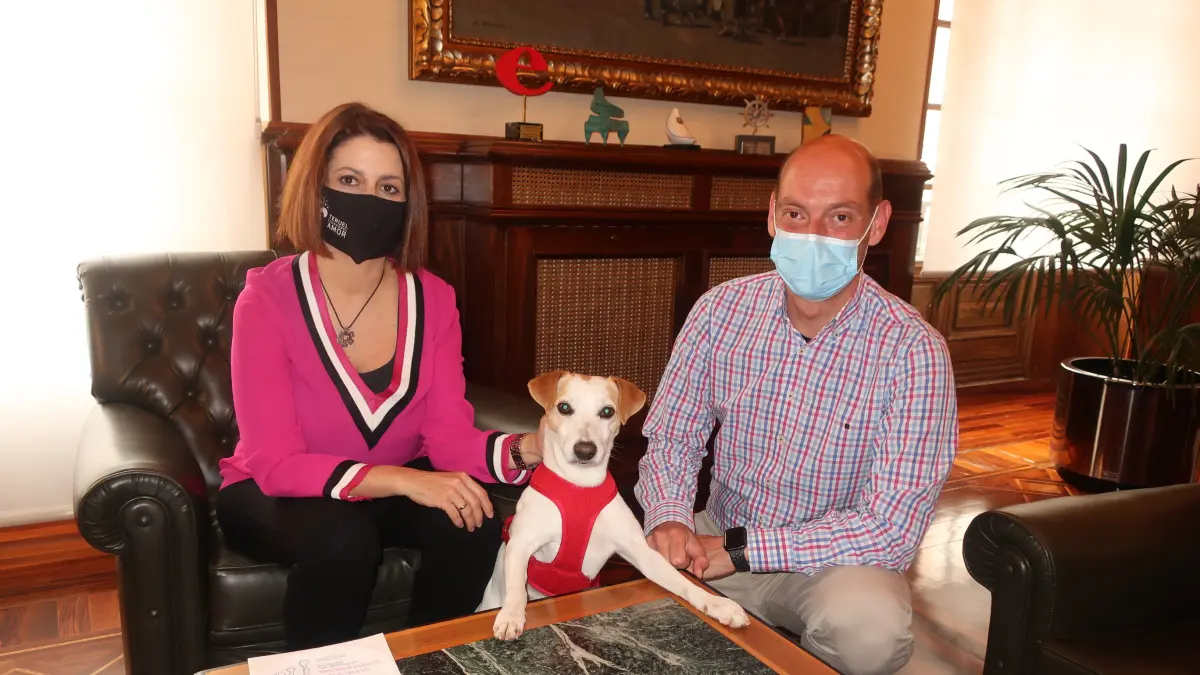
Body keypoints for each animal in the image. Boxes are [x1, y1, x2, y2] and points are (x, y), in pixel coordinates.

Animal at [477, 370, 751, 640]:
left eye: (607, 411)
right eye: (564, 407)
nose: (585, 450)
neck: (579, 487)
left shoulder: (642, 552)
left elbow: (680, 580)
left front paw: (715, 603)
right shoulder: (521, 544)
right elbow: (517, 587)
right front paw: (512, 614)